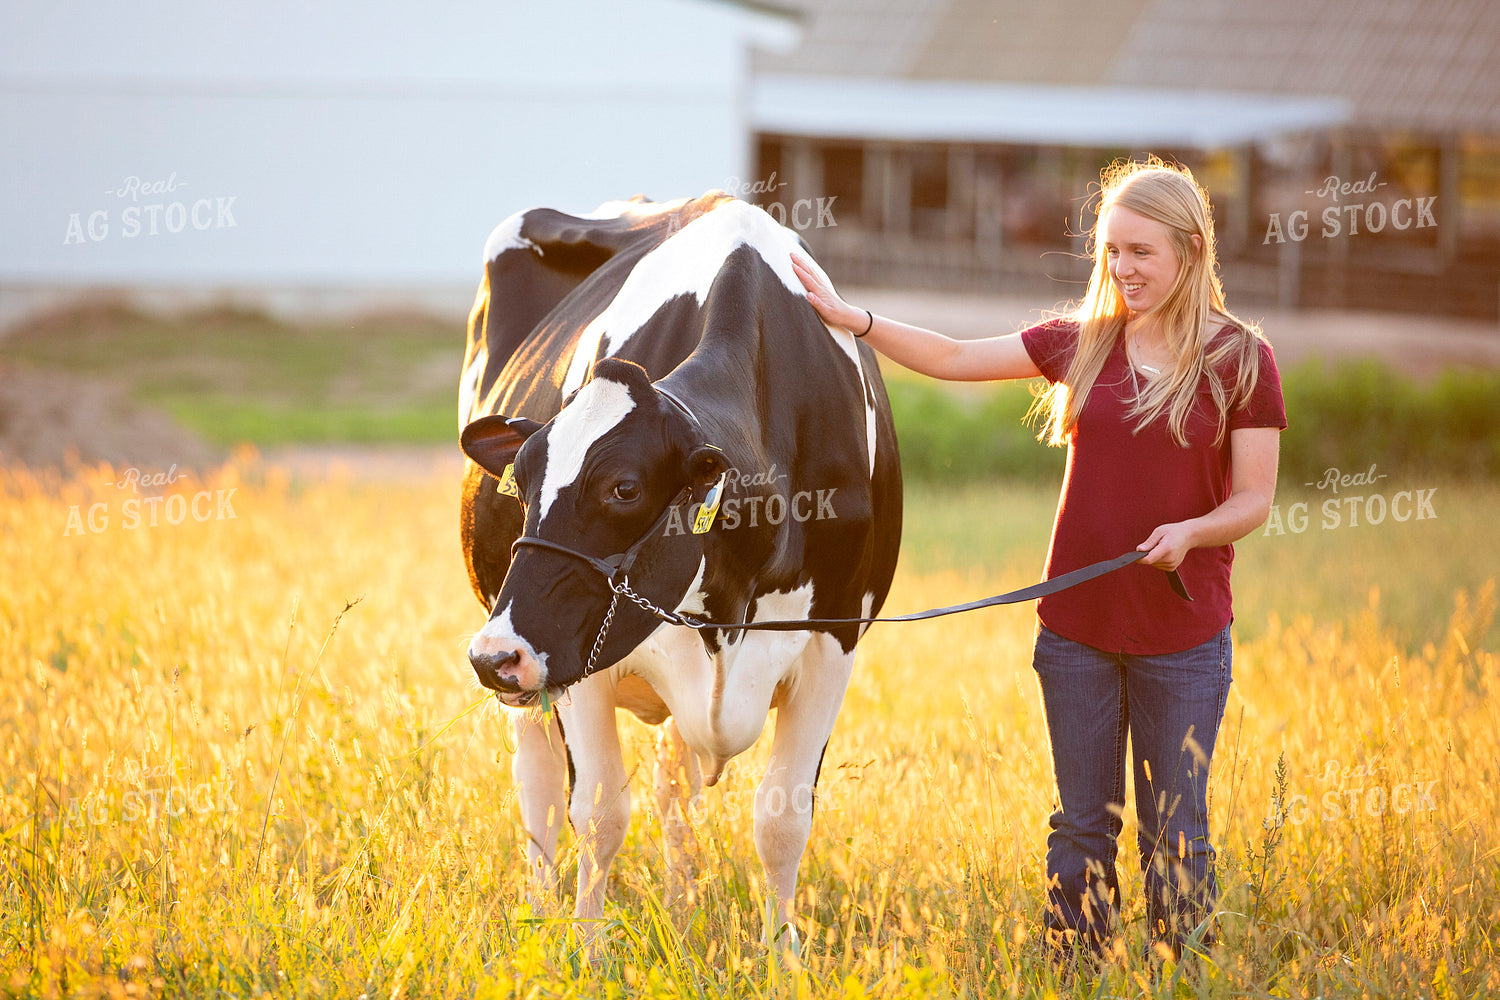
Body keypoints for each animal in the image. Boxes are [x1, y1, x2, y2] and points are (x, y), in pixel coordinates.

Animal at [456, 191, 902, 950]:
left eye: (624, 489)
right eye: (521, 481)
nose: (494, 655)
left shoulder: (833, 642)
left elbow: (782, 818)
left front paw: (782, 957)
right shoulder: (581, 651)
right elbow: (598, 813)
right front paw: (585, 951)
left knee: (671, 786)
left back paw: (681, 907)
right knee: (538, 786)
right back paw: (540, 908)